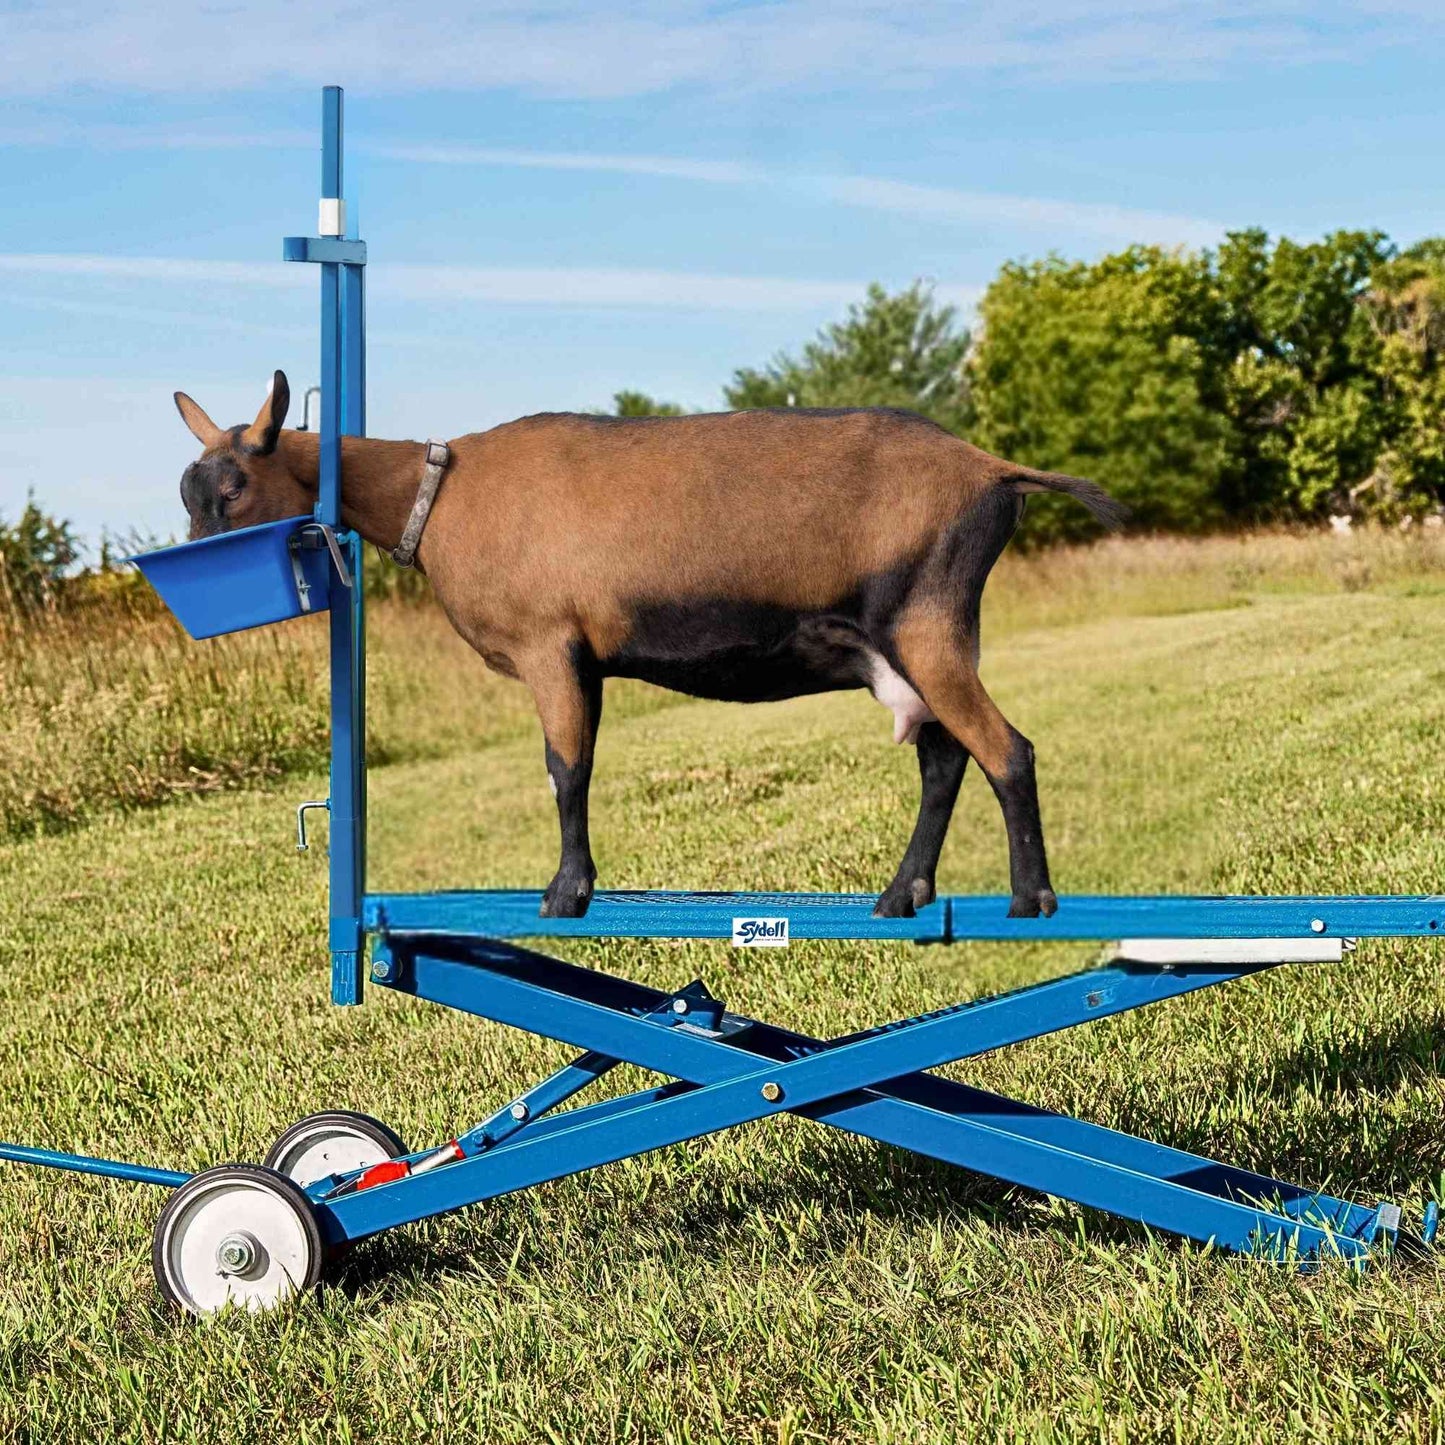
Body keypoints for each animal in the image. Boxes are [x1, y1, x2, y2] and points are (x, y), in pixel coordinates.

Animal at [174, 371, 1126, 920]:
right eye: (188, 491)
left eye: (234, 485)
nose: (190, 570)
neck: (437, 496)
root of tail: (993, 471)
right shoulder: (578, 658)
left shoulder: (549, 646)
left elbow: (565, 769)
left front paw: (564, 894)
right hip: (908, 645)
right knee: (944, 758)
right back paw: (902, 894)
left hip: (926, 622)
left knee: (1006, 749)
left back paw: (1030, 899)